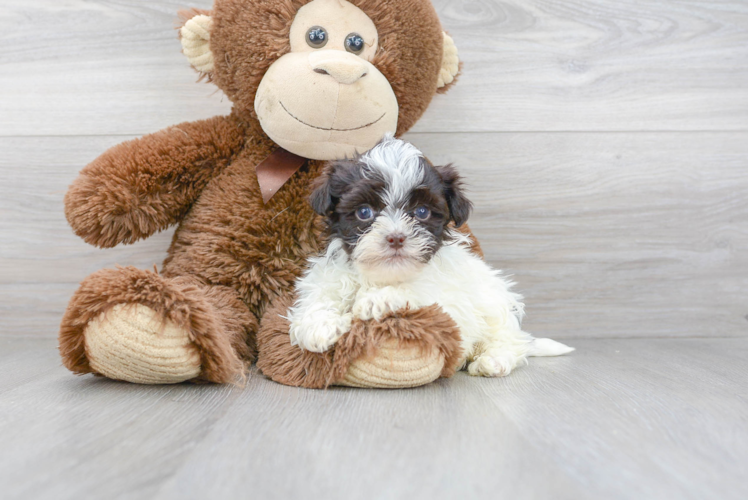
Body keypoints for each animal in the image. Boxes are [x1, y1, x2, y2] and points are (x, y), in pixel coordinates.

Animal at [288, 135, 572, 376]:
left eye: (422, 212)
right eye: (364, 212)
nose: (396, 238)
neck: (383, 275)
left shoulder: (449, 305)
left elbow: (421, 290)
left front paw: (376, 300)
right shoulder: (330, 276)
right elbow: (320, 294)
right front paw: (317, 326)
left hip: (496, 307)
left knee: (510, 340)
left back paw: (493, 360)